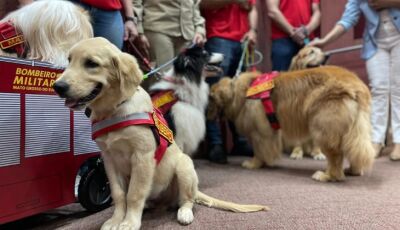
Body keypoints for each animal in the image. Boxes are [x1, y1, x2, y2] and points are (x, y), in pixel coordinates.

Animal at [52, 38, 266, 230]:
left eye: (91, 63)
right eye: (69, 60)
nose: (58, 87)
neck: (114, 110)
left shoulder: (143, 157)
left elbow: (134, 194)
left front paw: (129, 222)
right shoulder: (109, 160)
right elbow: (120, 194)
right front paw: (116, 220)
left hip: (184, 166)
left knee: (187, 200)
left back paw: (184, 213)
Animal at [209, 67, 376, 182]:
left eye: (210, 99)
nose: (207, 115)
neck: (242, 92)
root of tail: (356, 84)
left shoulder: (260, 132)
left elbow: (258, 151)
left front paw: (254, 164)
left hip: (323, 129)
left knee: (336, 157)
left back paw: (327, 176)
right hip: (354, 130)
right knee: (352, 151)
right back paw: (353, 170)